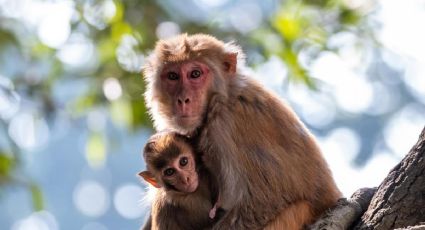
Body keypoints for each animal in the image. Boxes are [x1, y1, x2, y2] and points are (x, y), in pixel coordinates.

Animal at [142, 33, 342, 229]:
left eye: (195, 74)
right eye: (173, 76)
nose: (183, 99)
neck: (223, 97)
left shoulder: (226, 125)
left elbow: (266, 199)